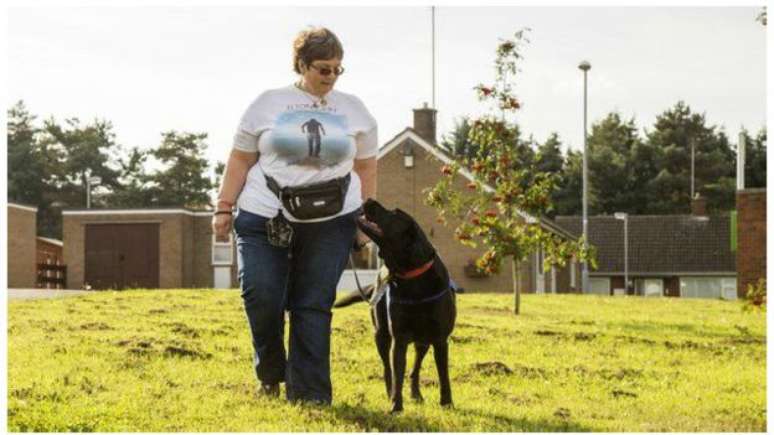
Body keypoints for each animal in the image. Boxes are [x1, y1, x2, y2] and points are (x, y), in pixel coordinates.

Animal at [336, 199, 458, 414]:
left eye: (394, 213)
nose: (368, 200)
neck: (413, 279)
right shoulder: (399, 338)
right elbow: (397, 373)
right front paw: (396, 406)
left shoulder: (440, 339)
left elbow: (443, 375)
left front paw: (447, 403)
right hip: (381, 334)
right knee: (387, 368)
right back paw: (390, 393)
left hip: (423, 342)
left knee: (415, 368)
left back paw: (416, 394)